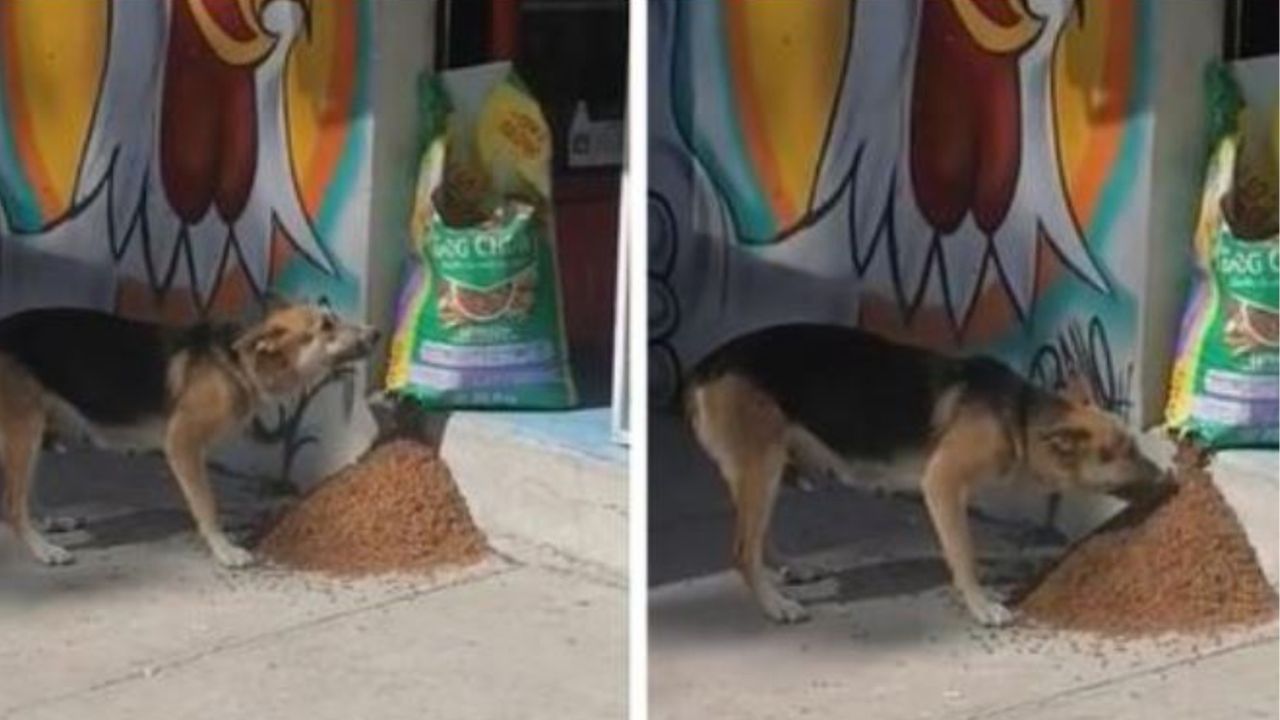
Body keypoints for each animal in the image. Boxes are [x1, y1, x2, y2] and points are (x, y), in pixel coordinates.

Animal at [0, 297, 378, 566]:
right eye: (326, 325)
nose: (375, 333)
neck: (239, 364)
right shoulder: (182, 443)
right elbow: (206, 505)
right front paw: (225, 550)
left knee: (21, 493)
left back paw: (48, 522)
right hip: (25, 430)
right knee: (11, 505)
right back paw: (43, 549)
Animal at [691, 322, 1172, 625]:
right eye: (1125, 451)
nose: (1168, 476)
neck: (1017, 416)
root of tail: (706, 365)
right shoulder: (942, 483)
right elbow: (963, 553)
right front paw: (981, 606)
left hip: (768, 470)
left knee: (757, 537)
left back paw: (787, 568)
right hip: (764, 466)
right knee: (742, 550)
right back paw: (776, 606)